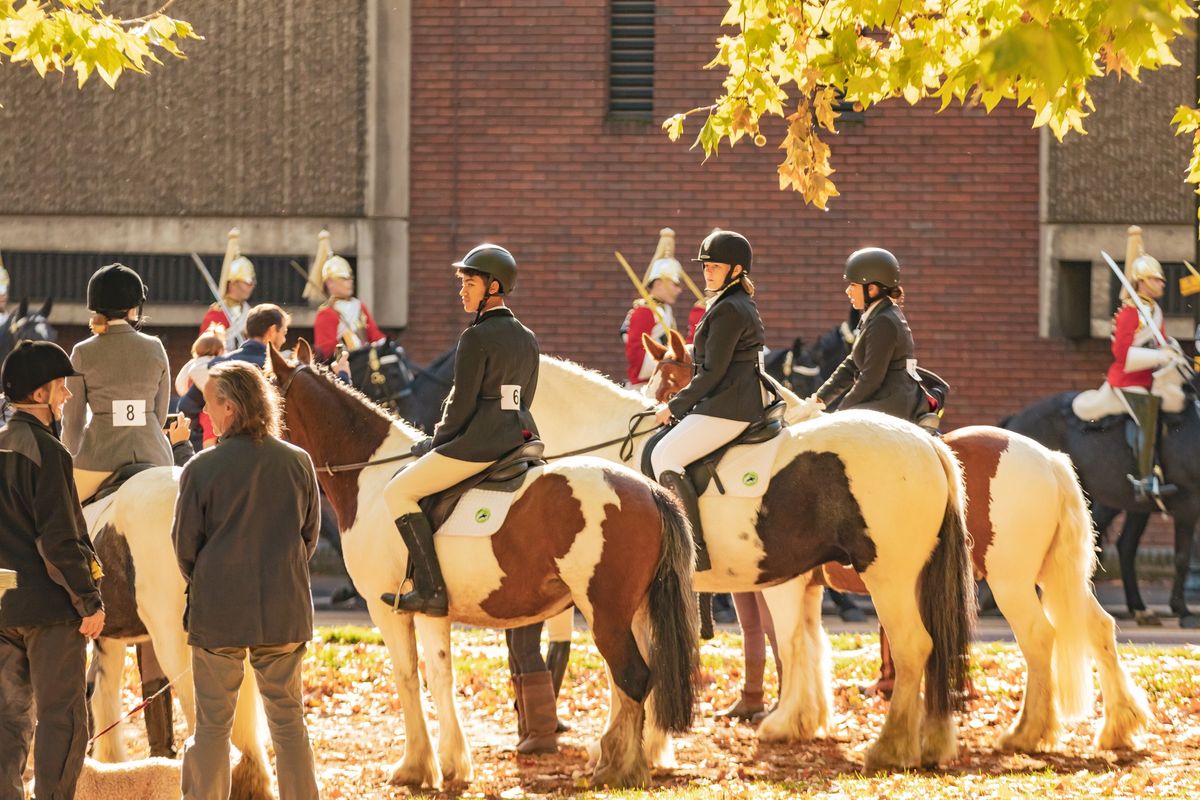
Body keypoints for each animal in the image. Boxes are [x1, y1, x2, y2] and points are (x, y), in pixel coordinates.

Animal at [265, 340, 696, 786]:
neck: (371, 478)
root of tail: (649, 491)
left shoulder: (389, 609)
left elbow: (408, 677)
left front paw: (416, 766)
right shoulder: (431, 610)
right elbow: (440, 675)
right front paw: (451, 763)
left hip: (606, 612)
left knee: (632, 676)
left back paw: (618, 768)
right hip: (636, 612)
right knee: (639, 678)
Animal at [532, 352, 974, 772]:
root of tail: (928, 444)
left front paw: (628, 749)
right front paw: (644, 749)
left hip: (888, 579)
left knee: (912, 647)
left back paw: (890, 749)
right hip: (915, 580)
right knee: (935, 648)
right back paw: (932, 743)